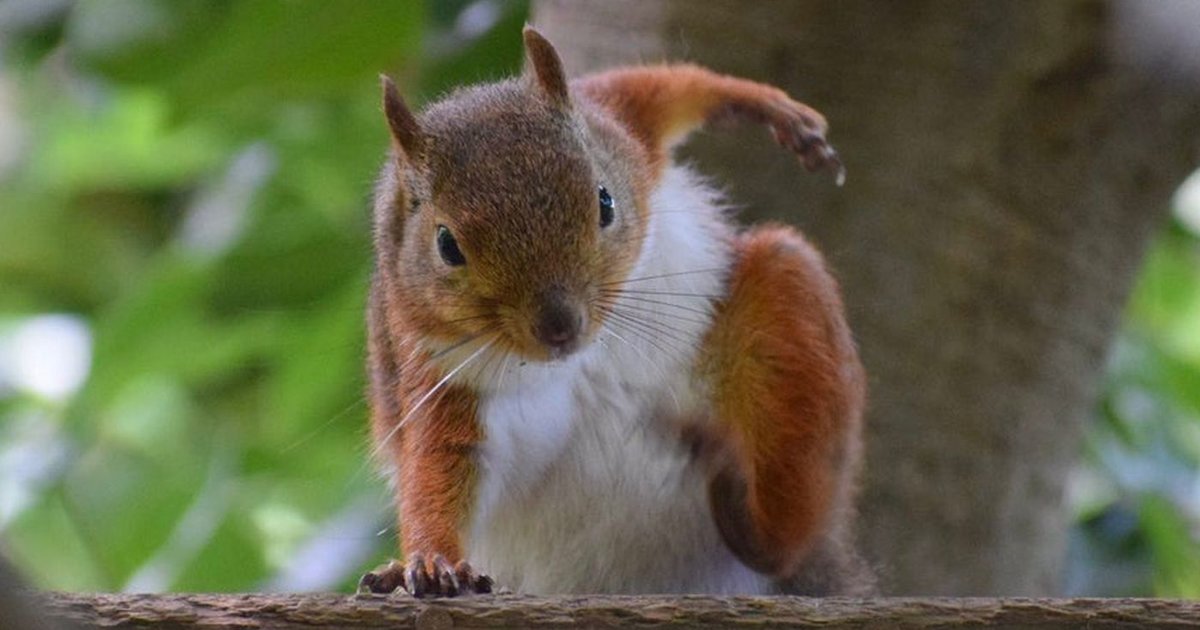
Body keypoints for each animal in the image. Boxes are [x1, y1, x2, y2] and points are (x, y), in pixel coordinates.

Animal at [360, 26, 873, 597]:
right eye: (447, 245)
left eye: (604, 201)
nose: (559, 327)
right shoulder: (439, 374)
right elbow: (440, 466)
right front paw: (432, 562)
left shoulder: (617, 125)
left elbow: (657, 89)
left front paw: (765, 105)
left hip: (788, 308)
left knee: (786, 531)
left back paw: (752, 513)